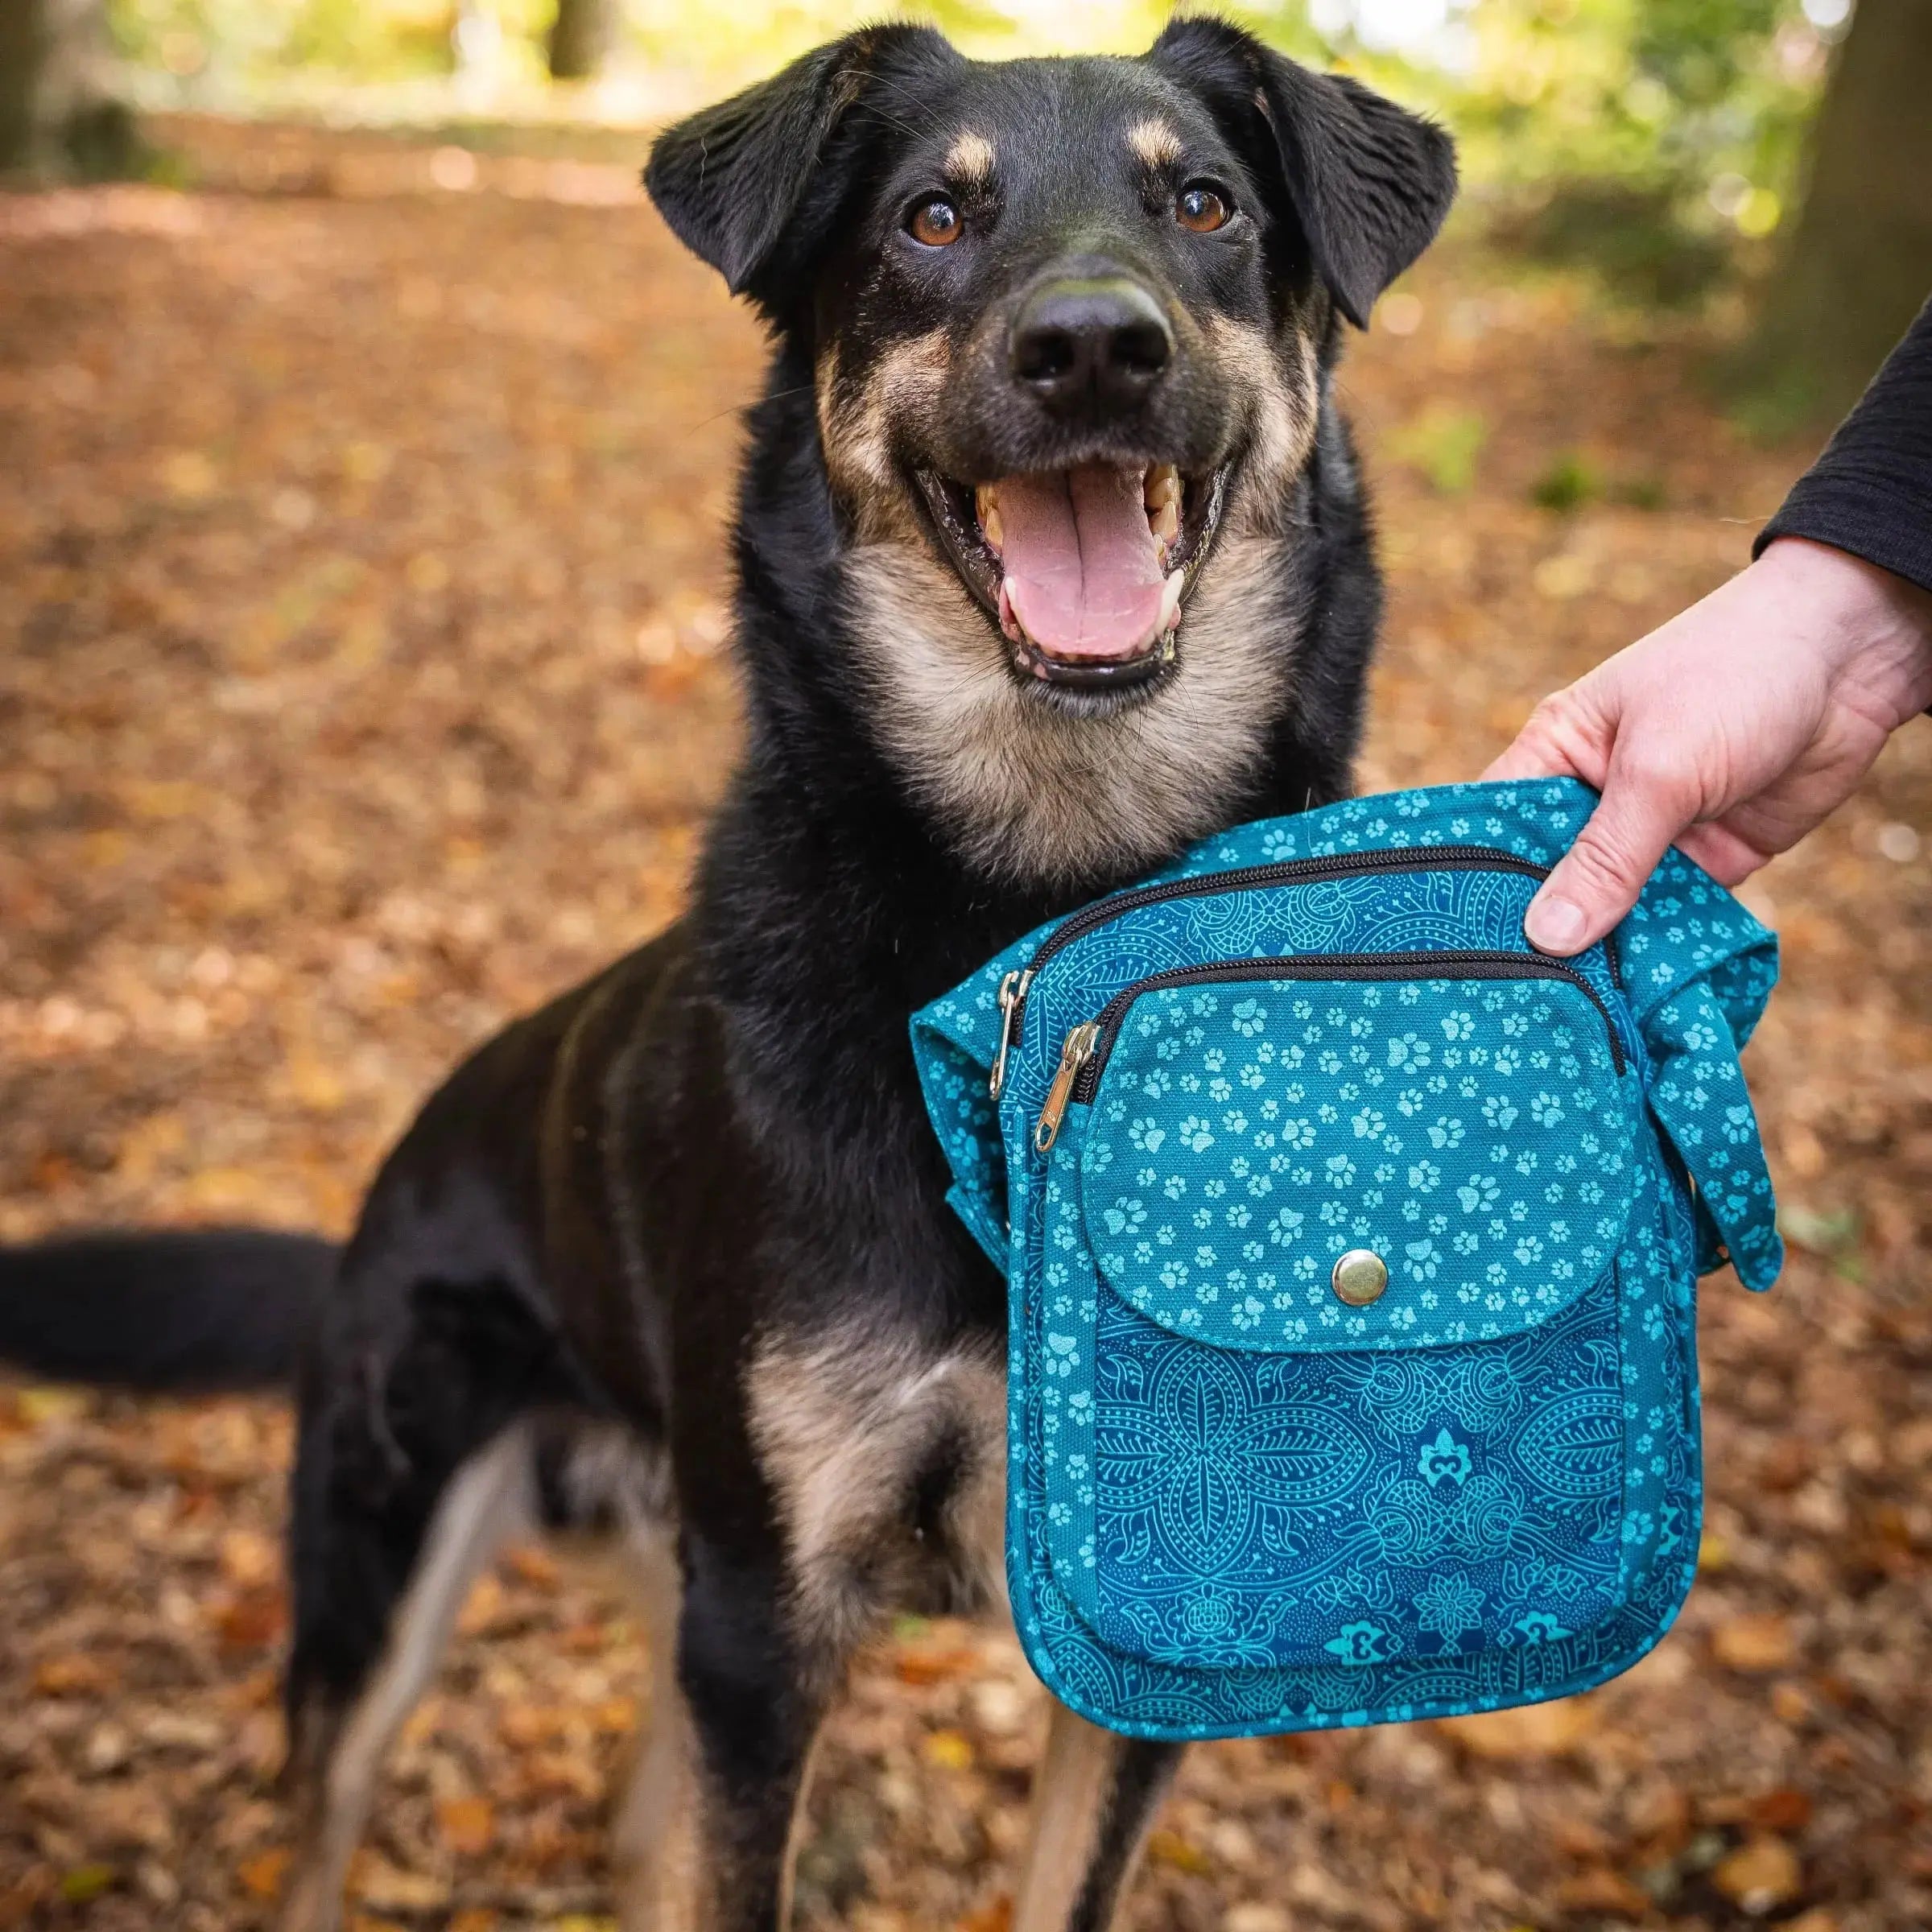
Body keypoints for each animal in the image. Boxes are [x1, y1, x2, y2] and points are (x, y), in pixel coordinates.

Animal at [0, 19, 1452, 1932]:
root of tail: (379, 1201)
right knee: (322, 1828)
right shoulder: (765, 1630)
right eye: (931, 219)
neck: (1030, 914)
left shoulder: (1153, 1631)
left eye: (1205, 204)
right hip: (389, 1575)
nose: (1092, 346)